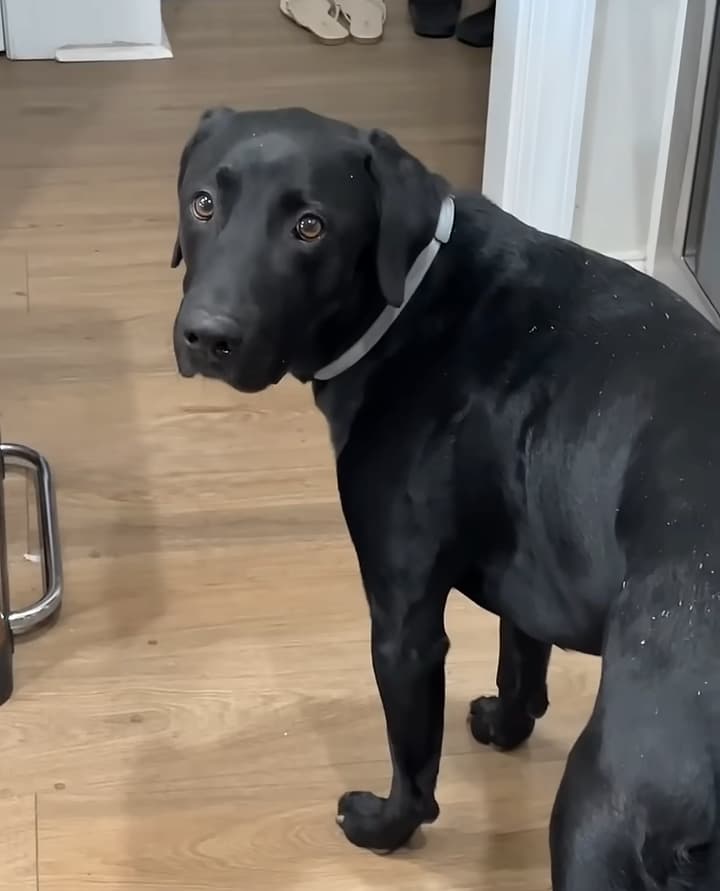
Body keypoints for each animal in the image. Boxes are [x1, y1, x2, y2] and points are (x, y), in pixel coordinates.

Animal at [172, 108, 720, 888]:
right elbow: (522, 662)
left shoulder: (404, 627)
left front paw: (383, 828)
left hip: (600, 815)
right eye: (203, 204)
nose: (207, 335)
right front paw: (507, 725)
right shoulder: (533, 570)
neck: (411, 303)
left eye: (310, 226)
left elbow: (414, 762)